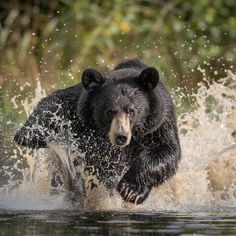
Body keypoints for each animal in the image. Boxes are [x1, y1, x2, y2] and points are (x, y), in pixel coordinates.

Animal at [14, 59, 181, 205]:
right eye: (110, 111)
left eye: (131, 111)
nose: (121, 137)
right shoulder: (80, 111)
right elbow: (54, 103)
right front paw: (27, 135)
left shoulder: (159, 123)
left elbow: (166, 151)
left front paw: (130, 189)